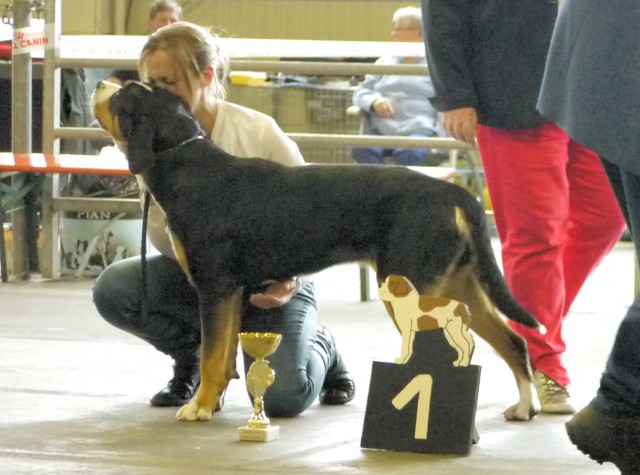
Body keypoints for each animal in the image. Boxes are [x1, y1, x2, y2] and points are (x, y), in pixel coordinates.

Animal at [90, 81, 540, 424]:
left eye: (122, 96)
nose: (100, 84)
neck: (189, 166)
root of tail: (452, 191)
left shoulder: (214, 288)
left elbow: (213, 355)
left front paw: (198, 409)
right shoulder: (231, 292)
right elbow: (223, 355)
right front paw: (210, 403)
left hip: (416, 288)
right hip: (456, 287)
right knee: (513, 341)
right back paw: (524, 406)